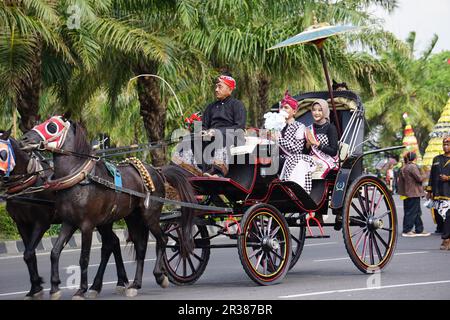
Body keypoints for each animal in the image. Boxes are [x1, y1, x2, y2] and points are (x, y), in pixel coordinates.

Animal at [0, 129, 130, 298]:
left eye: (2, 153)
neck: (29, 182)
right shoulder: (21, 224)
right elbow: (29, 254)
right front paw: (35, 287)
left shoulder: (41, 222)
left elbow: (28, 253)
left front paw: (39, 286)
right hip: (104, 221)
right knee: (113, 242)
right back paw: (118, 281)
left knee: (111, 243)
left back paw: (111, 283)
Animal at [19, 117, 195, 300]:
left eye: (51, 127)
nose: (24, 139)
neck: (79, 177)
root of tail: (158, 171)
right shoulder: (69, 222)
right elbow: (55, 252)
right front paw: (54, 288)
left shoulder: (87, 225)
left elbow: (84, 258)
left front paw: (81, 290)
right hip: (132, 217)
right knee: (139, 246)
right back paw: (134, 284)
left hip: (150, 216)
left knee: (162, 240)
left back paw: (159, 276)